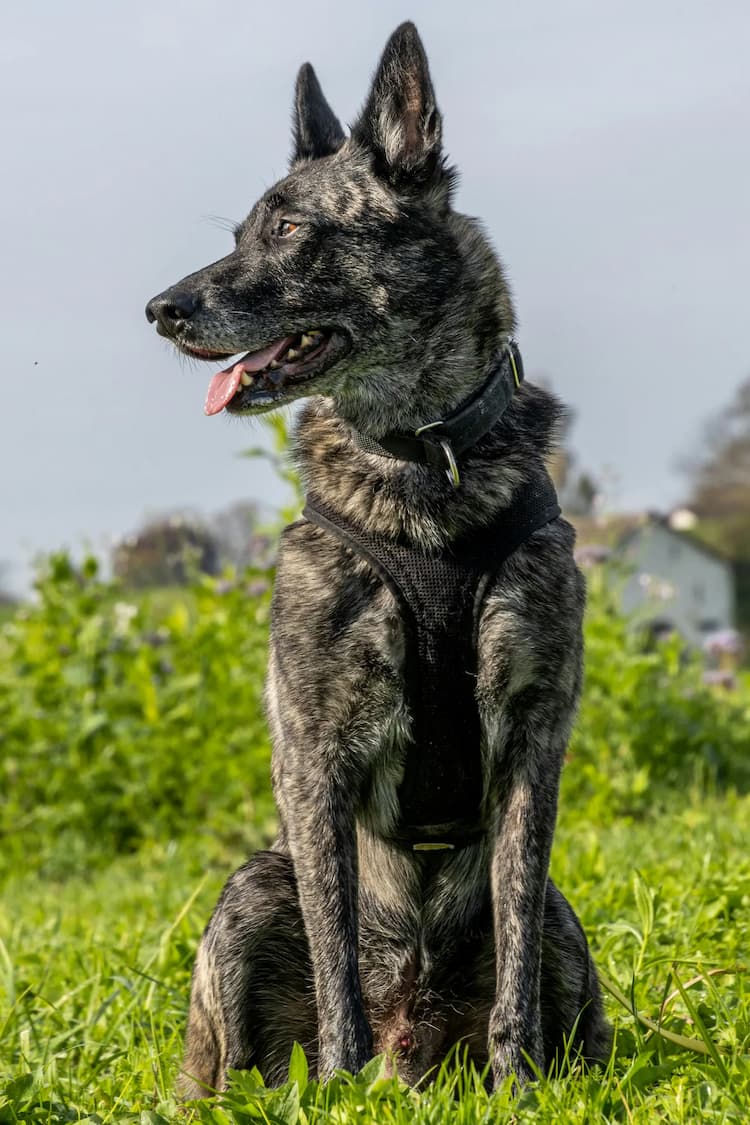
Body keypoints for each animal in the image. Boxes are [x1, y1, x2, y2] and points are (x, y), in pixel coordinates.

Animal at [145, 19, 611, 1098]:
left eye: (288, 230)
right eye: (241, 233)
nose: (161, 308)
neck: (419, 463)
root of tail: (417, 1040)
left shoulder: (534, 743)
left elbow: (515, 956)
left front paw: (517, 1086)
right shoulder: (315, 752)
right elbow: (335, 950)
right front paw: (340, 1087)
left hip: (569, 928)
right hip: (248, 892)